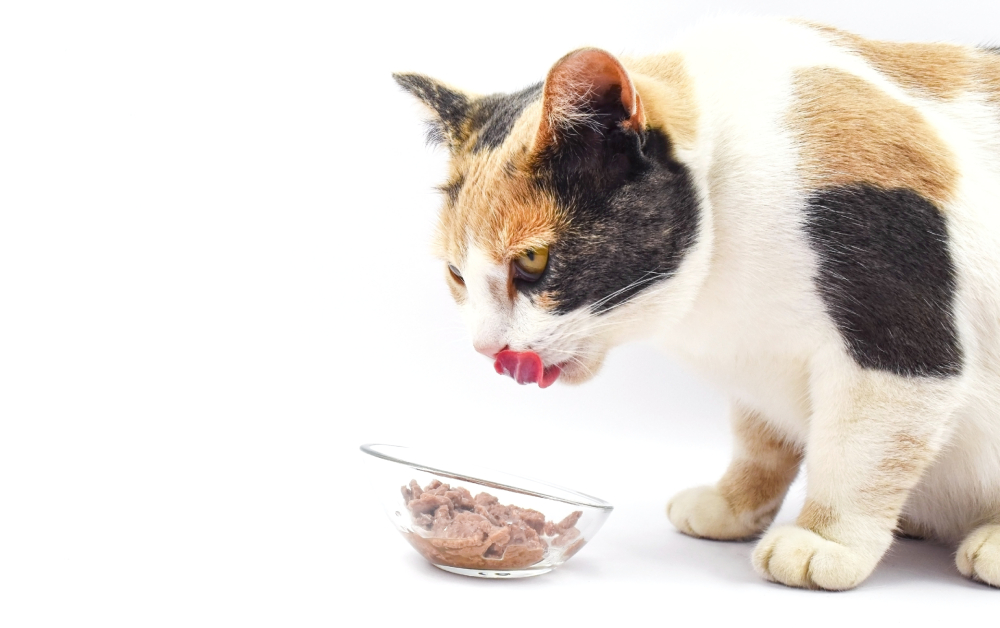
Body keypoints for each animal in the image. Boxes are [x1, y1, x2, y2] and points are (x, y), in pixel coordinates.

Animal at [392, 17, 1000, 592]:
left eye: (534, 260)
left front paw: (824, 538)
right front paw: (732, 504)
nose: (487, 348)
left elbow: (859, 449)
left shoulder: (897, 343)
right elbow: (759, 438)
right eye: (456, 274)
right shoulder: (756, 356)